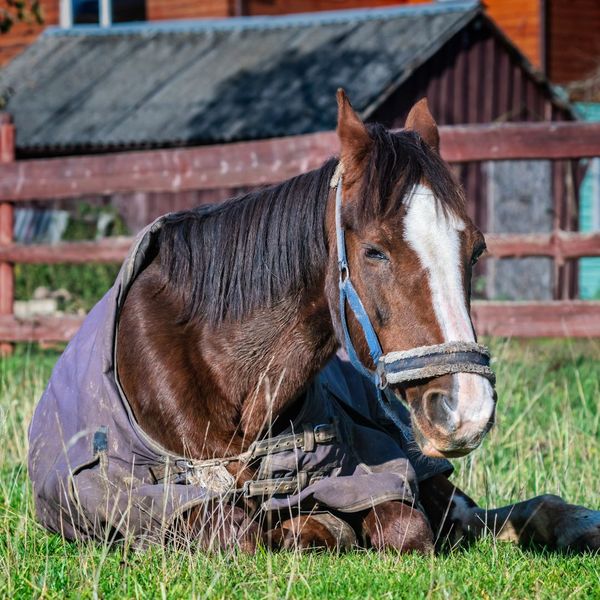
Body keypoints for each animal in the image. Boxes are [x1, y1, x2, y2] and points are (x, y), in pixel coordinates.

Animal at [30, 90, 596, 552]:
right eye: (374, 251)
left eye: (475, 250)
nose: (466, 410)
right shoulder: (161, 503)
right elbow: (241, 531)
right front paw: (314, 527)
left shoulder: (380, 469)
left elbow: (406, 524)